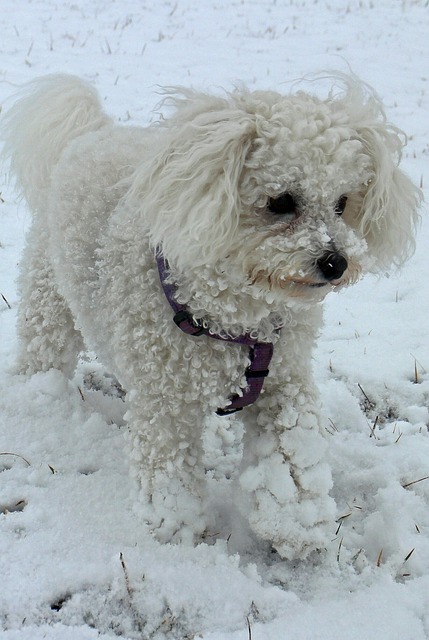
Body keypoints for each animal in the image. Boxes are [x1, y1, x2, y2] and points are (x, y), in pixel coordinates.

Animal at [0, 74, 422, 556]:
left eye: (342, 202)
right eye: (281, 201)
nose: (336, 263)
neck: (235, 318)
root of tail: (93, 132)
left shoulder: (285, 376)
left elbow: (292, 447)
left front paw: (295, 519)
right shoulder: (164, 399)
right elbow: (167, 465)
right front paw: (175, 527)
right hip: (49, 299)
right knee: (44, 351)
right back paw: (41, 395)